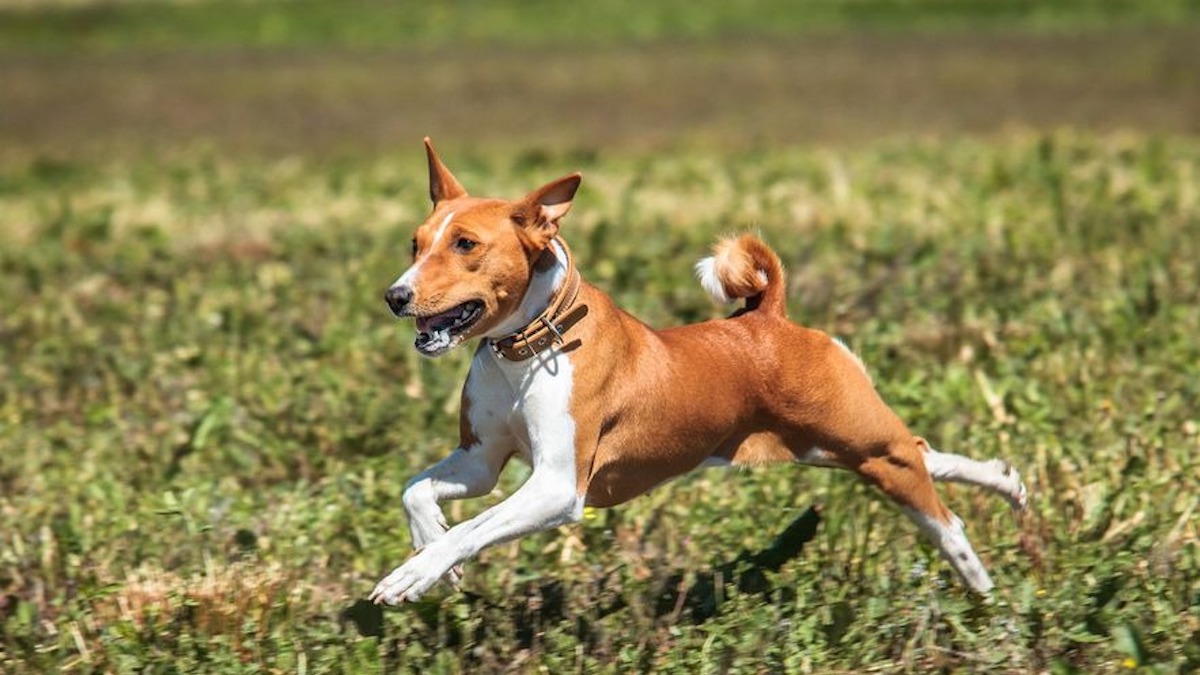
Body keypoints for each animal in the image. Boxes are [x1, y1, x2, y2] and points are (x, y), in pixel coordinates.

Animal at [369, 139, 1027, 600]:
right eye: (415, 243)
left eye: (466, 245)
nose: (395, 297)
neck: (525, 352)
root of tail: (769, 316)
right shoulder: (481, 460)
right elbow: (417, 492)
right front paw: (433, 557)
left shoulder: (557, 485)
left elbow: (471, 529)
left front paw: (416, 573)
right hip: (834, 447)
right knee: (926, 453)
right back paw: (1006, 482)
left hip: (862, 445)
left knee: (942, 513)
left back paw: (979, 582)